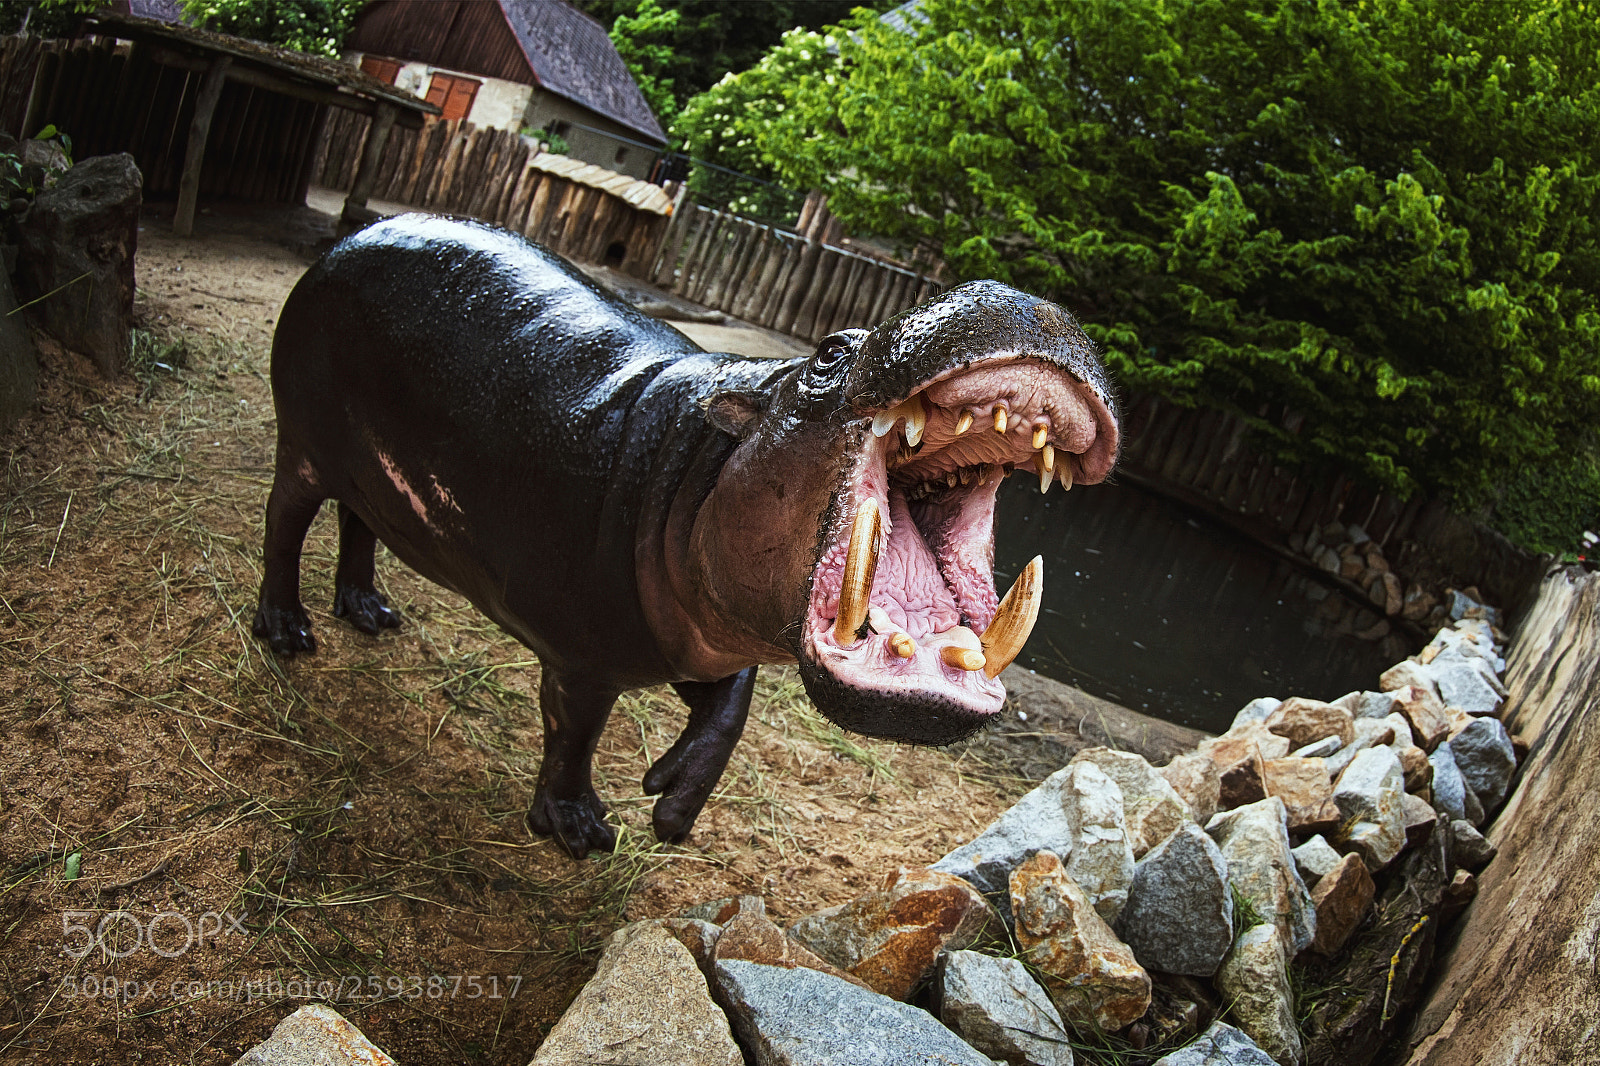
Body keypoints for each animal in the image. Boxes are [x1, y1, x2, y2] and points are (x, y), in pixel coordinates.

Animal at [252, 215, 1119, 858]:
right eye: (829, 351)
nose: (1019, 294)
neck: (703, 455)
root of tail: (356, 233)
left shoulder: (706, 637)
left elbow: (731, 708)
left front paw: (670, 806)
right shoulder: (583, 656)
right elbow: (573, 731)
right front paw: (581, 830)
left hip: (371, 473)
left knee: (361, 522)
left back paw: (369, 612)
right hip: (303, 446)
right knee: (283, 525)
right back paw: (287, 633)